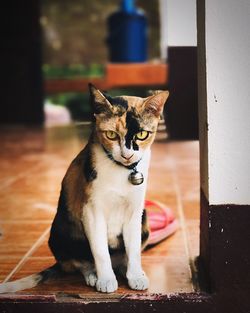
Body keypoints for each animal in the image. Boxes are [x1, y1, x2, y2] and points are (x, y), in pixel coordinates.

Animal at [0, 83, 170, 292]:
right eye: (111, 134)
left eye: (142, 134)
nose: (127, 154)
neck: (121, 170)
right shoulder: (91, 210)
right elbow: (100, 251)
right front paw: (105, 280)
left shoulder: (135, 211)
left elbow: (133, 250)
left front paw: (135, 276)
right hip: (60, 231)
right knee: (81, 262)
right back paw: (93, 275)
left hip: (145, 220)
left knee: (123, 256)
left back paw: (123, 269)